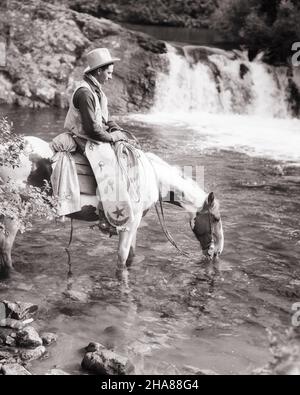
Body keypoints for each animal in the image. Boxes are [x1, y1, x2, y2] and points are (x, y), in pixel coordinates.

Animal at [0, 137, 225, 278]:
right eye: (215, 219)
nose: (216, 253)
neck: (151, 177)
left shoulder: (134, 224)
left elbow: (131, 256)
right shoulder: (128, 224)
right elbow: (121, 258)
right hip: (14, 212)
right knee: (6, 248)